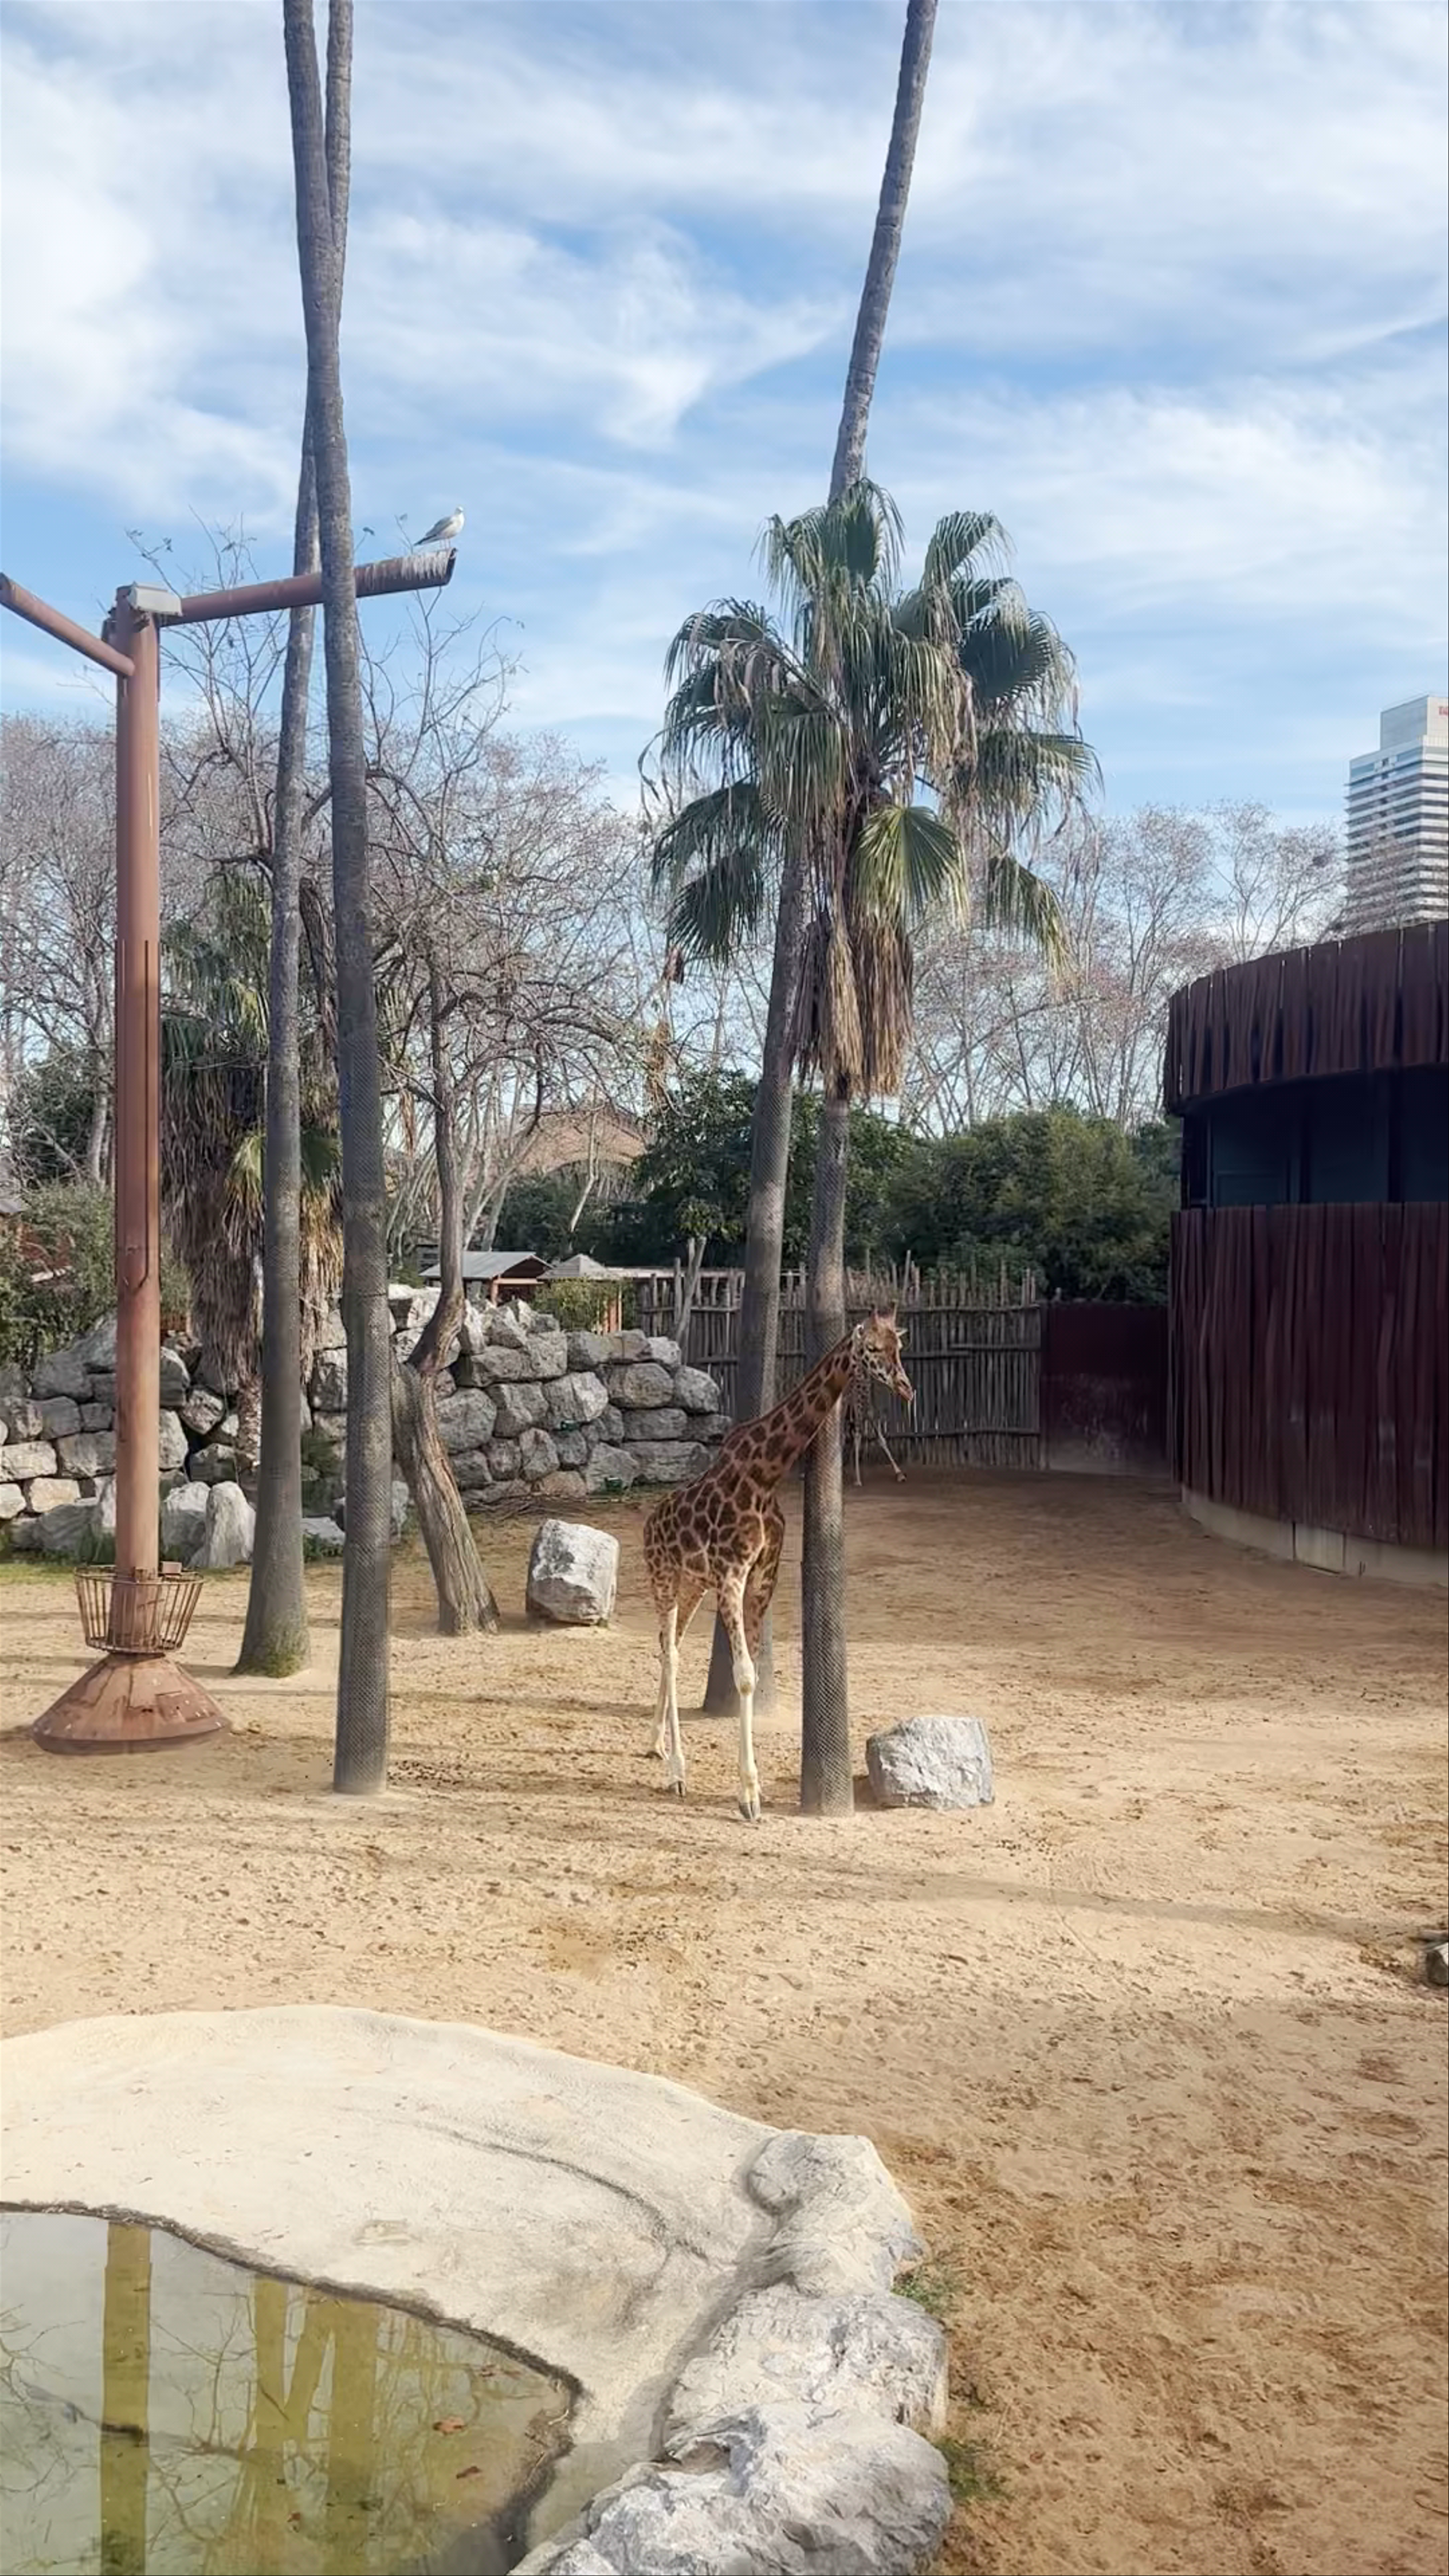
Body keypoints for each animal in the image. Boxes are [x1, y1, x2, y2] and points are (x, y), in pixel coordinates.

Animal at [642, 1310, 913, 1820]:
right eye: (872, 1349)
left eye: (899, 1347)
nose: (907, 1388)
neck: (764, 1474)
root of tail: (649, 1523)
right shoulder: (732, 1573)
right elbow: (745, 1674)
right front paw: (749, 1795)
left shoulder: (761, 1576)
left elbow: (748, 1672)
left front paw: (752, 1788)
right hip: (663, 1578)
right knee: (669, 1652)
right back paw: (677, 1772)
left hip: (692, 1585)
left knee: (672, 1647)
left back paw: (656, 1744)